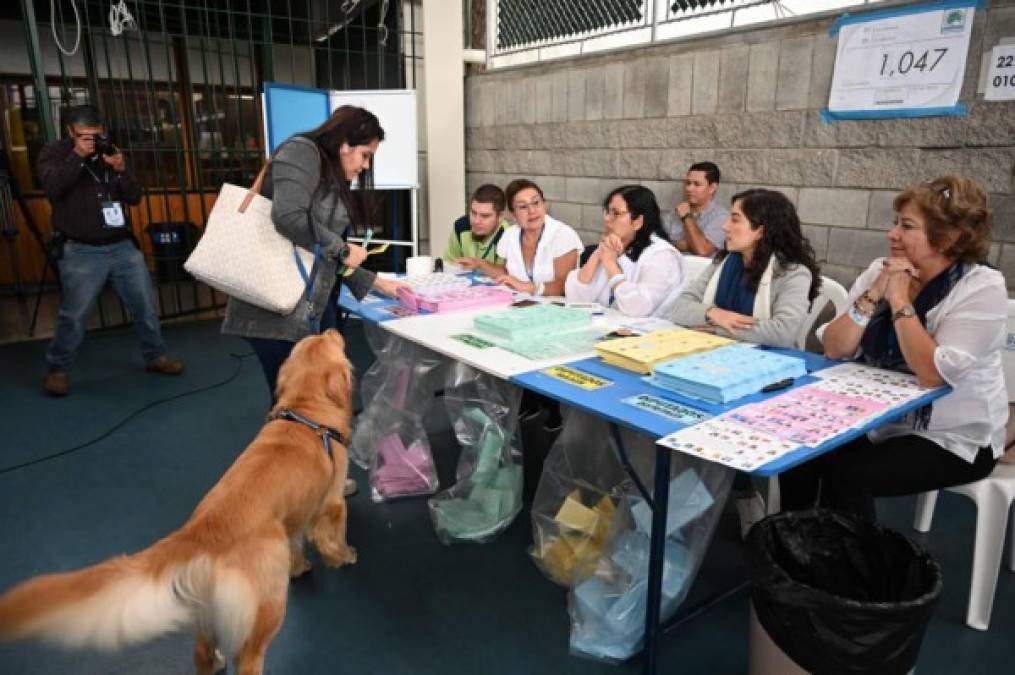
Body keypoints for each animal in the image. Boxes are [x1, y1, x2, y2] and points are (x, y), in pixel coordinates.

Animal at [0, 328, 357, 669]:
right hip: (266, 610)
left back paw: (214, 661)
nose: (330, 326)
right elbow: (333, 534)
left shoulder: (298, 515)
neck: (306, 410)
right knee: (249, 657)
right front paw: (344, 556)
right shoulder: (331, 501)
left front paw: (302, 566)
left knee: (200, 652)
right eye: (324, 338)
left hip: (209, 611)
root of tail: (203, 530)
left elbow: (298, 542)